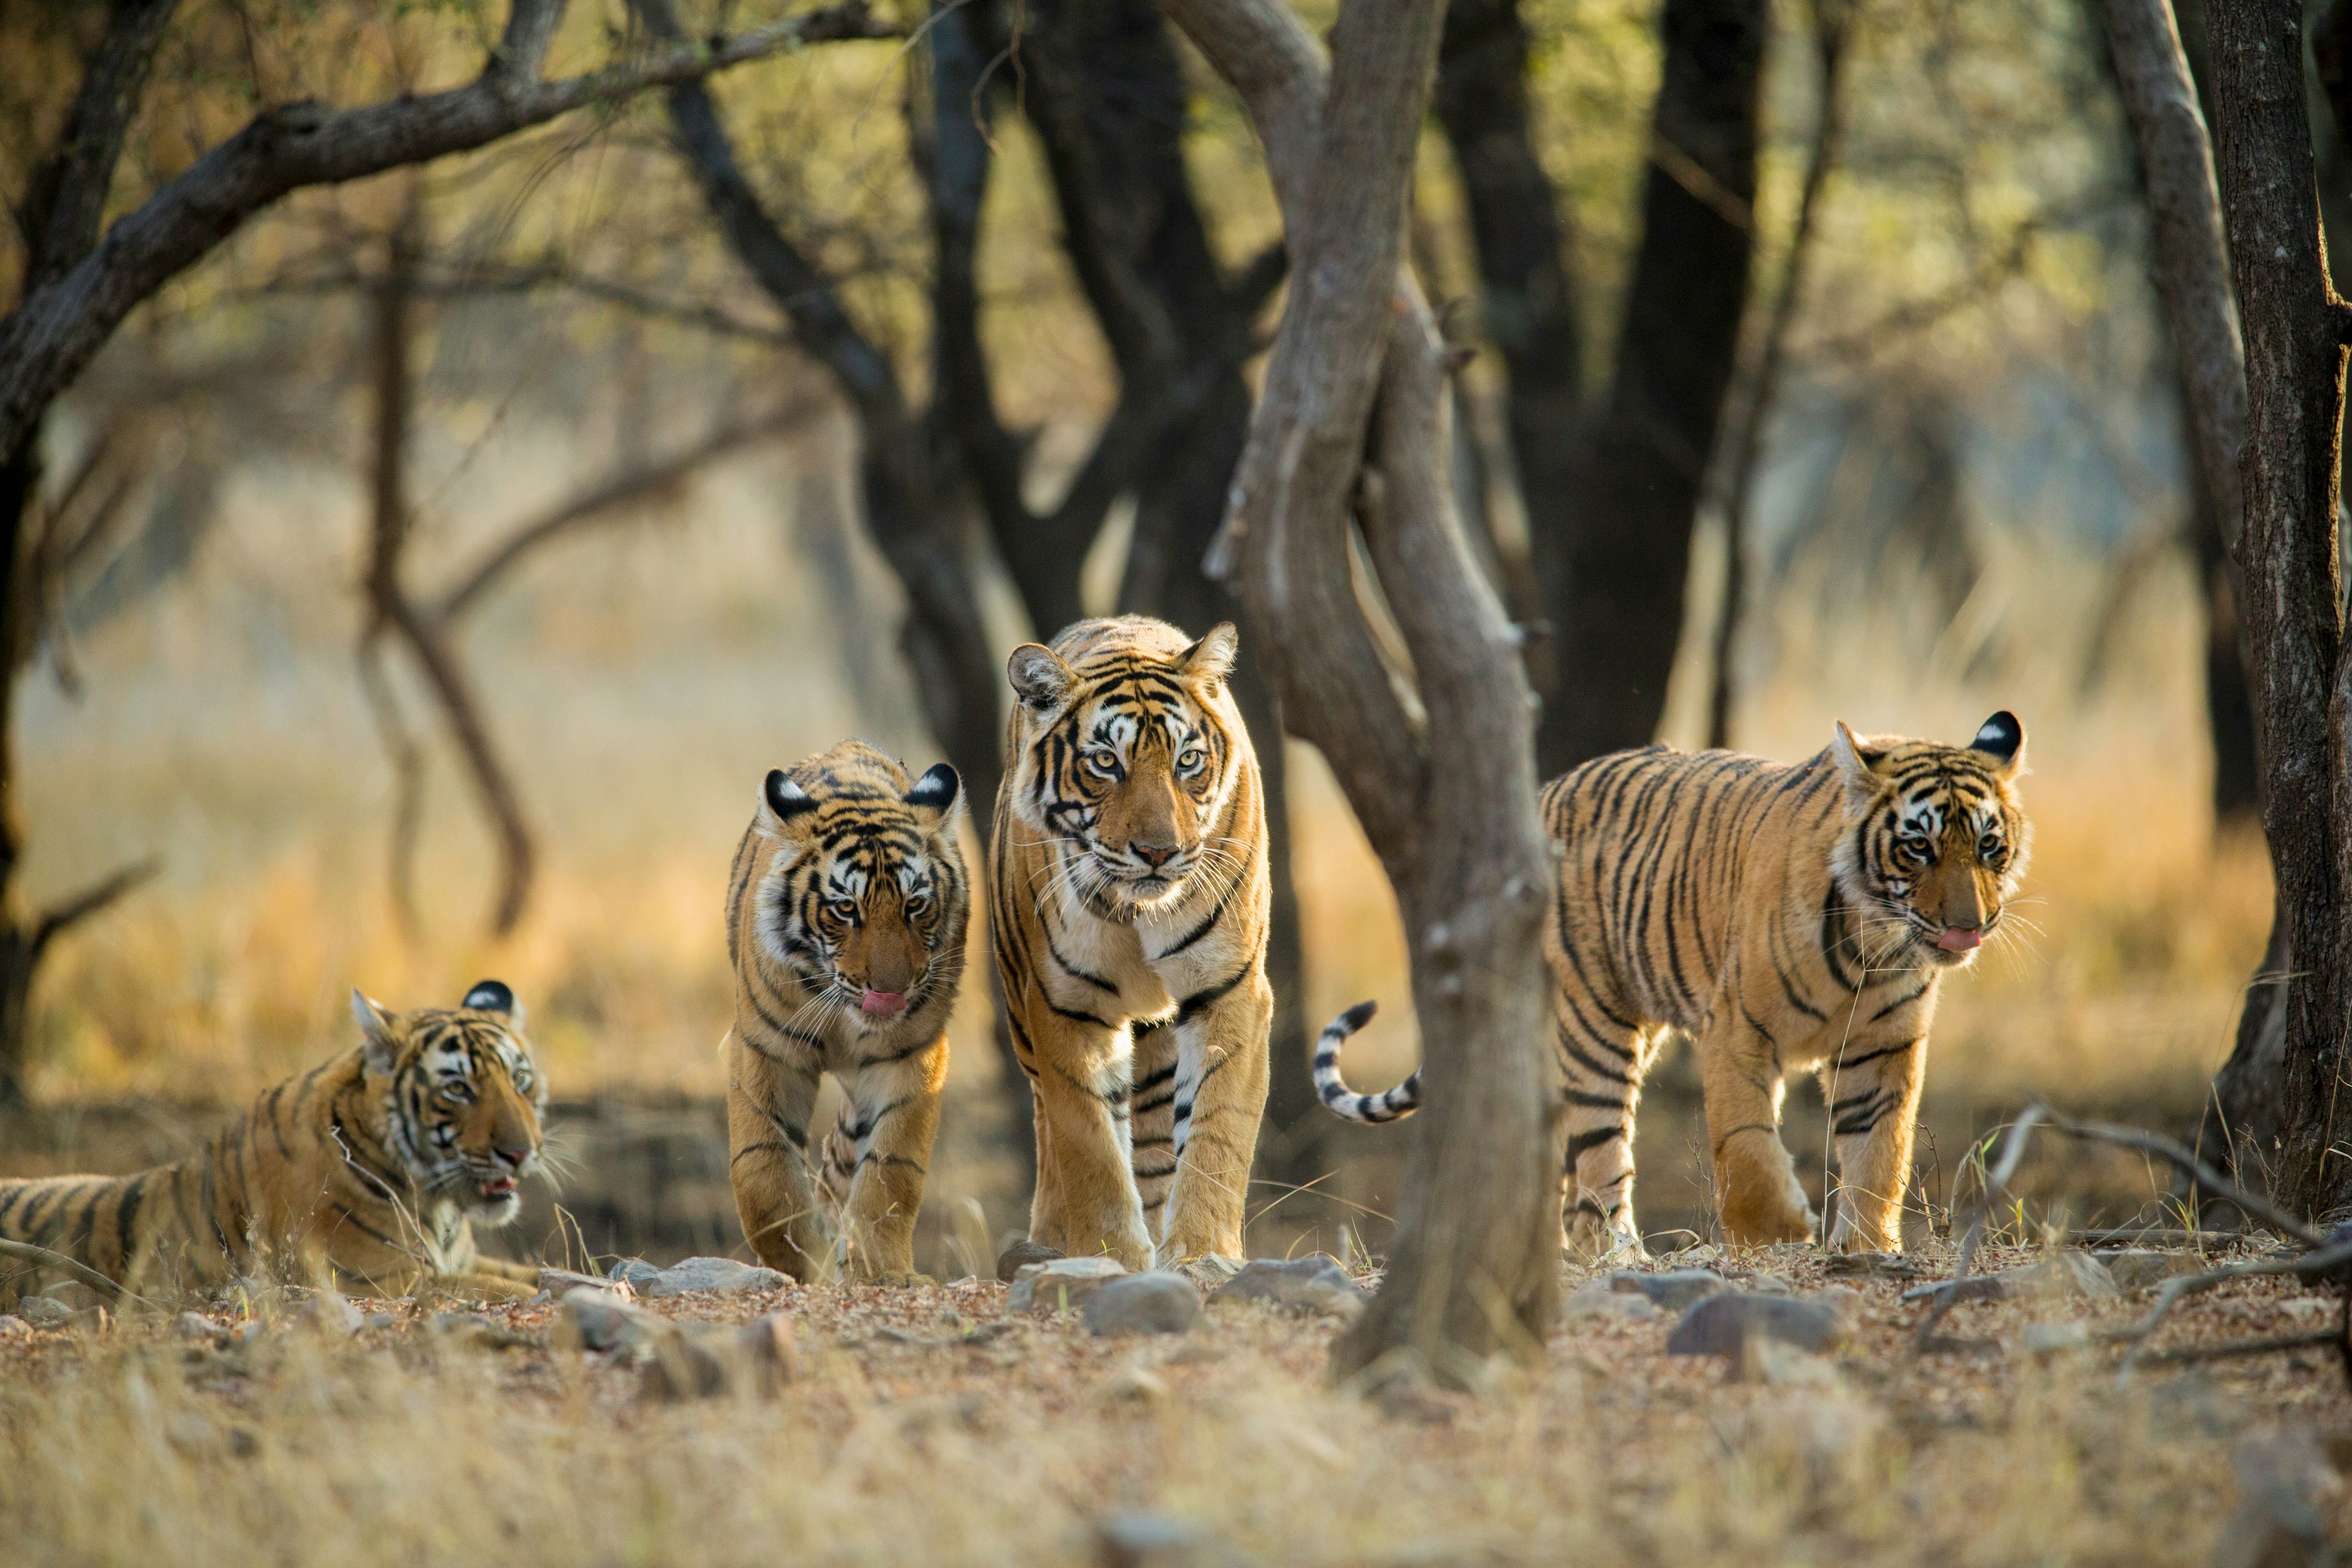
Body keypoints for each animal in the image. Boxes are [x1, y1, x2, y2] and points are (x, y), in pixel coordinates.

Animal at [0, 982, 545, 1316]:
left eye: (520, 1080)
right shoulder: (380, 1279)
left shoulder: (458, 1262)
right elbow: (513, 1289)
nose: (521, 1153)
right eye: (457, 1089)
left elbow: (539, 1272)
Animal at [724, 742, 964, 1278]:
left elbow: (892, 1169)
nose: (891, 993)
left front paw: (878, 1268)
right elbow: (762, 1172)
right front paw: (802, 1261)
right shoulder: (766, 1049)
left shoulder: (909, 1054)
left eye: (915, 905)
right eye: (846, 909)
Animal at [997, 620, 1289, 1269]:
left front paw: (1202, 1252)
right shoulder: (1065, 1004)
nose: (1159, 852)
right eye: (1106, 762)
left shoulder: (1229, 990)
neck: (1136, 912)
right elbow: (1089, 1143)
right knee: (1048, 1127)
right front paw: (1114, 1256)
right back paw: (1049, 1238)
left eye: (1188, 761)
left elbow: (1216, 1131)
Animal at [1317, 719, 2032, 1260]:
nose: (1968, 926)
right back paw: (1619, 1256)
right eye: (1919, 848)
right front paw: (1776, 1236)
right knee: (1599, 1161)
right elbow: (1745, 1145)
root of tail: (1542, 793)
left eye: (1989, 846)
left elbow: (1881, 1152)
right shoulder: (1737, 1029)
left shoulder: (1882, 1048)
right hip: (1594, 1025)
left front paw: (1867, 1247)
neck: (1873, 944)